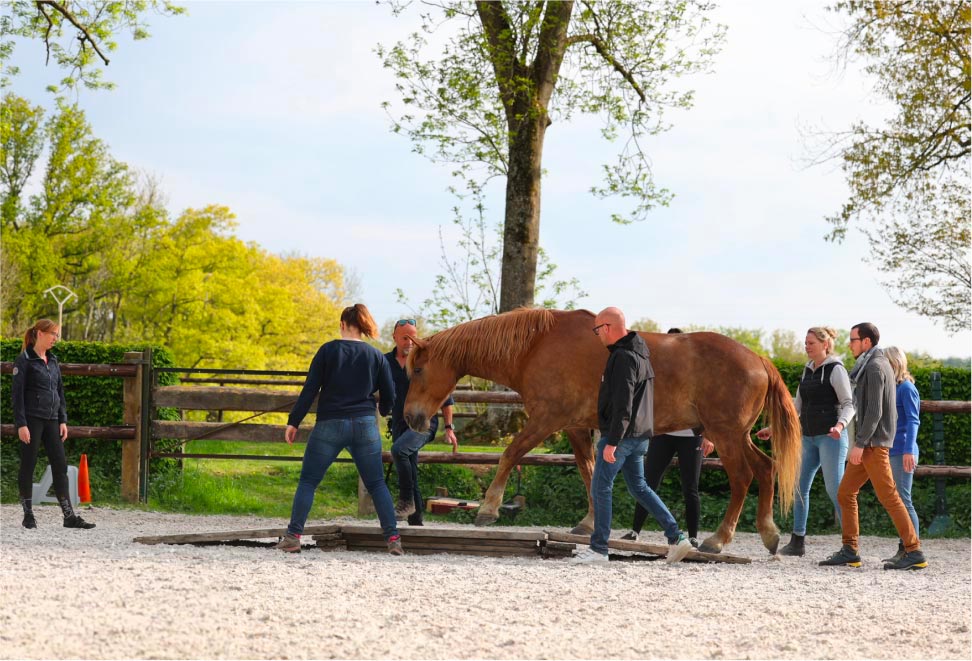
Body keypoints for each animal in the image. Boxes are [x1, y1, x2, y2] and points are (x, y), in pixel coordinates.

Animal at [406, 306, 800, 556]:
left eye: (418, 370)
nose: (411, 418)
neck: (536, 346)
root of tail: (759, 360)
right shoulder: (577, 428)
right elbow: (588, 471)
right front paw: (589, 522)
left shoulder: (546, 419)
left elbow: (510, 453)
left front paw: (489, 508)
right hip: (739, 436)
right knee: (766, 468)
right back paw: (769, 534)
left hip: (726, 435)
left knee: (743, 478)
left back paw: (717, 539)